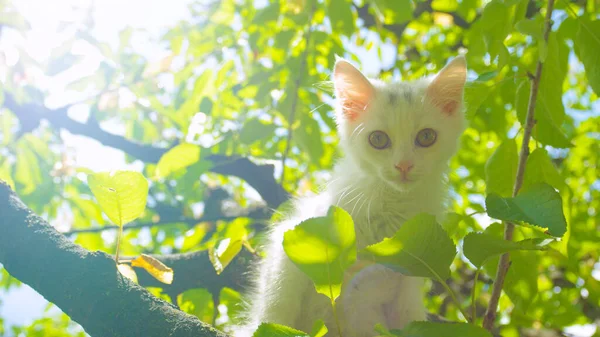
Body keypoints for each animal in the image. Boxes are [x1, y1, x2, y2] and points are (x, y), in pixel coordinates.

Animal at [234, 55, 468, 336]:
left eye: (426, 137)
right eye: (378, 139)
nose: (403, 165)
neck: (392, 205)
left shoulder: (407, 279)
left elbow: (407, 318)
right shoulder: (297, 236)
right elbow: (278, 306)